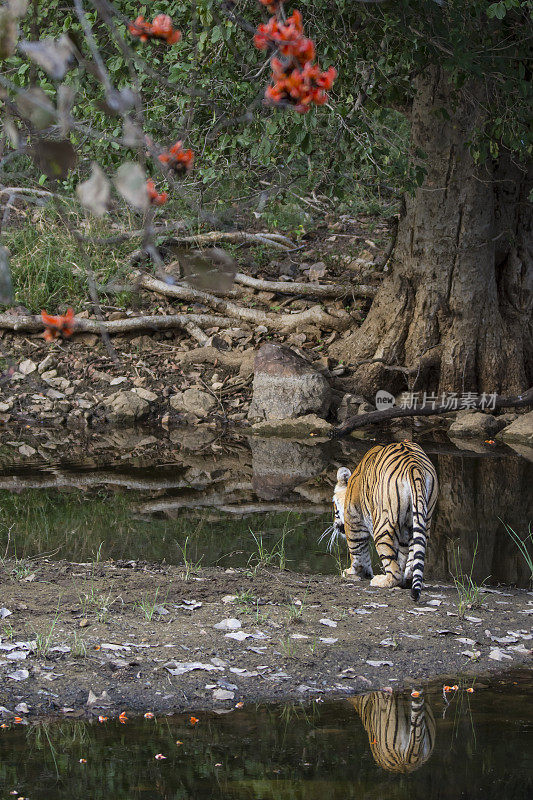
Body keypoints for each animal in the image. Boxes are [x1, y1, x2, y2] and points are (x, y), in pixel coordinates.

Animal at [324, 440, 436, 604]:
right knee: (414, 554)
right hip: (423, 519)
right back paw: (407, 580)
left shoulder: (354, 521)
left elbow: (357, 551)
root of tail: (413, 464)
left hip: (382, 525)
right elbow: (401, 556)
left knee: (393, 571)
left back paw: (381, 580)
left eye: (333, 505)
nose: (335, 525)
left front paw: (353, 572)